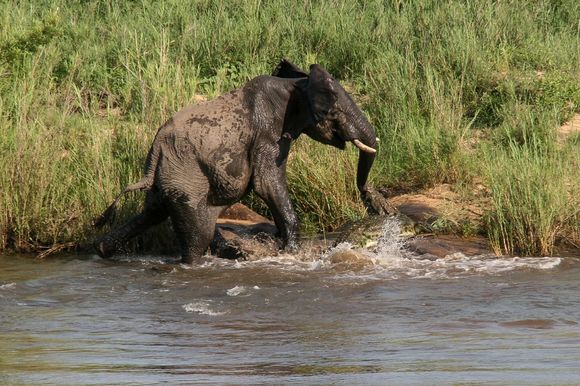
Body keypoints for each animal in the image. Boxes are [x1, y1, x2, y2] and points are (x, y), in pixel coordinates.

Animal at [94, 59, 386, 266]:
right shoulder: (267, 134)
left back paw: (103, 250)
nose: (374, 200)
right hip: (185, 176)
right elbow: (267, 184)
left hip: (170, 176)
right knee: (195, 235)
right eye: (334, 112)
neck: (294, 85)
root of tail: (155, 150)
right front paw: (291, 252)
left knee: (154, 212)